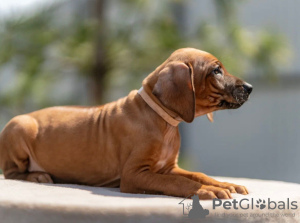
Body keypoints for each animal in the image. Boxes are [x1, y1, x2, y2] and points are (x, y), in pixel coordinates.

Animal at [0, 48, 253, 199]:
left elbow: (197, 174)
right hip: (21, 126)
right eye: (216, 70)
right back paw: (37, 176)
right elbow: (177, 183)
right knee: (11, 172)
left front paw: (223, 184)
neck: (163, 121)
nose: (250, 87)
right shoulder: (134, 175)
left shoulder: (169, 167)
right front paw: (205, 191)